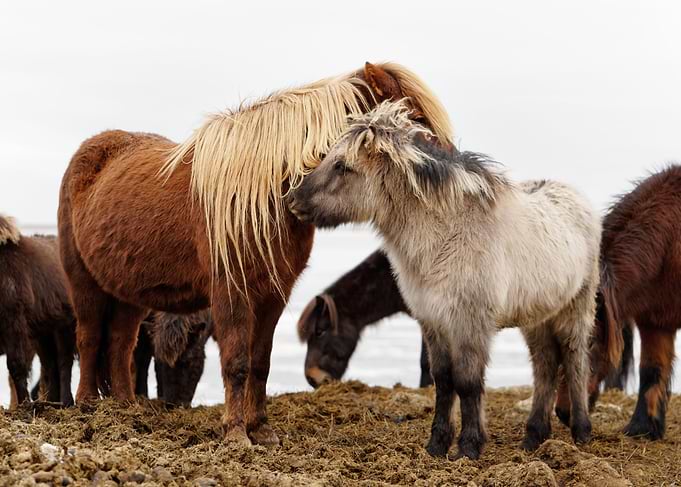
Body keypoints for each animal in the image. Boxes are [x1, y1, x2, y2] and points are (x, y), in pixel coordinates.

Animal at [0, 216, 76, 406]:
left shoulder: (14, 325)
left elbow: (16, 366)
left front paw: (24, 405)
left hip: (64, 327)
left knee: (64, 362)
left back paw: (65, 402)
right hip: (43, 333)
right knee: (50, 364)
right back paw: (51, 401)